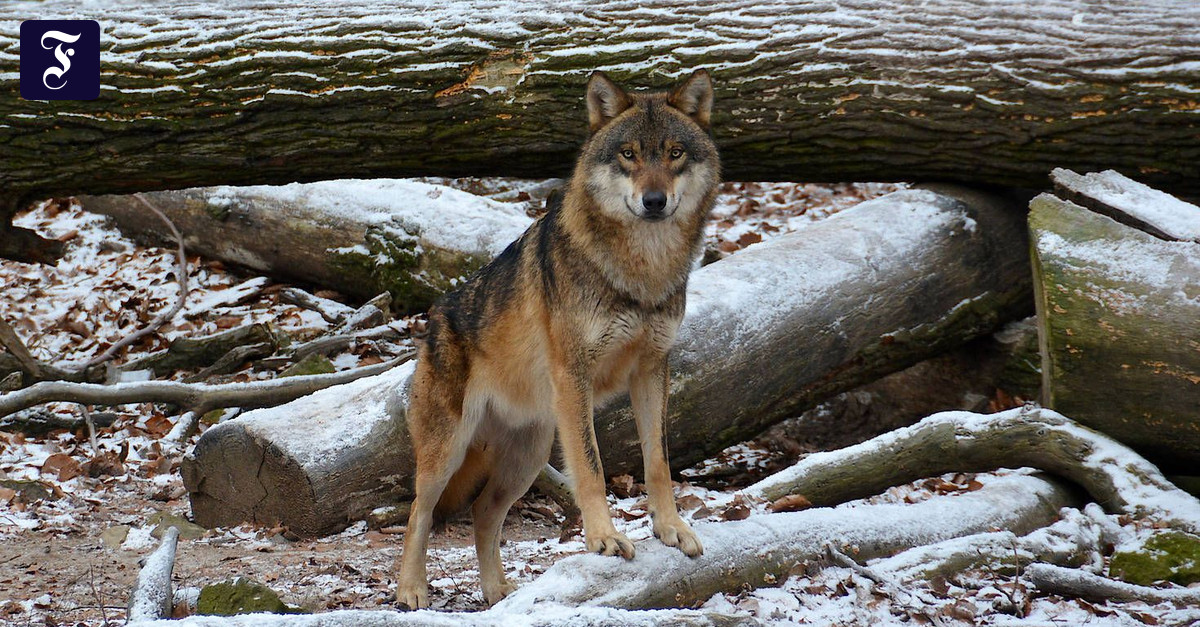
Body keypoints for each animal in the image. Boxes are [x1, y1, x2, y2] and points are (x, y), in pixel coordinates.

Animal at [395, 69, 720, 609]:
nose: (654, 201)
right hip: (449, 451)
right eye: (628, 154)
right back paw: (411, 590)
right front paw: (604, 539)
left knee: (483, 514)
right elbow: (591, 467)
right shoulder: (575, 375)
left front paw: (671, 529)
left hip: (529, 456)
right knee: (419, 513)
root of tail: (433, 319)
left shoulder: (653, 368)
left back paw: (498, 592)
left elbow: (658, 461)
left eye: (674, 153)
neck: (643, 272)